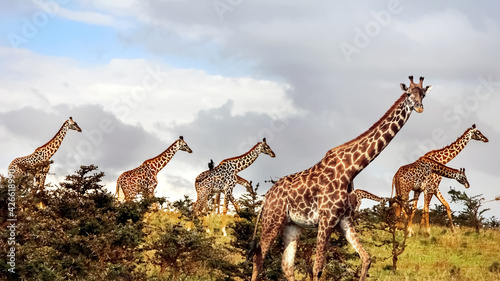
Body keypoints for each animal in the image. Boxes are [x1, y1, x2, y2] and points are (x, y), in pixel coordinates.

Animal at [252, 75, 432, 280]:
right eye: (408, 93)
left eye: (423, 94)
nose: (419, 107)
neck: (352, 168)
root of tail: (266, 198)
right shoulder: (326, 219)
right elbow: (317, 267)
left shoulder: (344, 220)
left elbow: (366, 259)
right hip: (273, 220)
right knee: (259, 258)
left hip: (292, 226)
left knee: (286, 266)